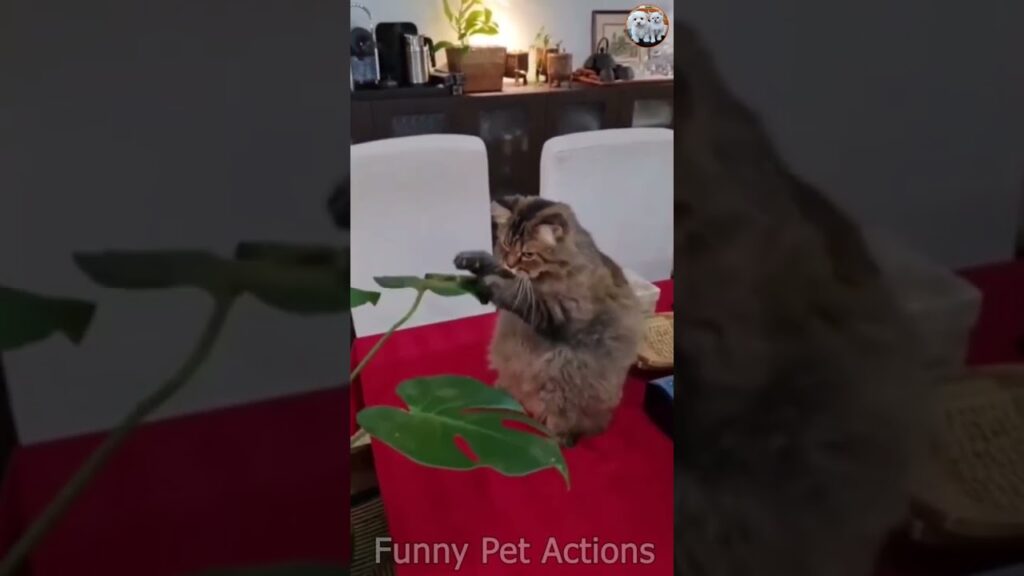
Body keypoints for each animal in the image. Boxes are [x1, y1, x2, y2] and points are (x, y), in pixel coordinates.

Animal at [454, 195, 638, 444]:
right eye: (506, 245)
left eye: (528, 255)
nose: (510, 263)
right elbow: (495, 267)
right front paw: (473, 261)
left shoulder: (558, 314)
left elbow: (514, 292)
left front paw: (491, 282)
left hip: (563, 384)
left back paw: (557, 437)